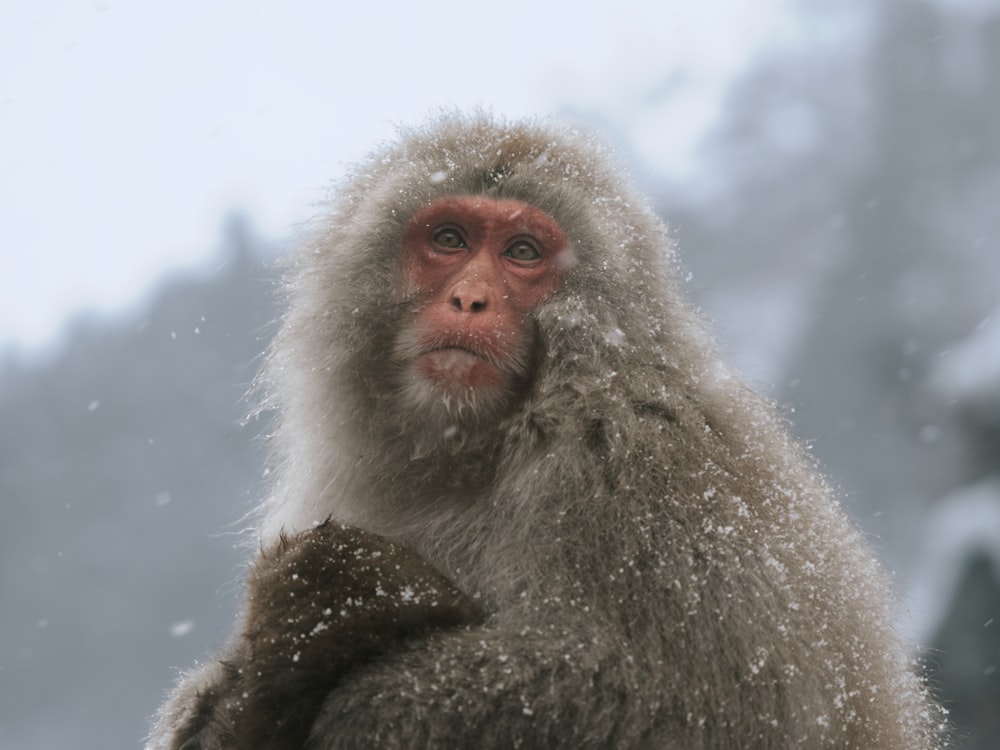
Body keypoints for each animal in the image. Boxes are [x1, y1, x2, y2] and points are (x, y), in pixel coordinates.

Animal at [148, 114, 944, 748]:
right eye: (448, 238)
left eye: (523, 253)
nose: (470, 299)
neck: (483, 444)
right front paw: (300, 637)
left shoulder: (642, 467)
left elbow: (675, 697)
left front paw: (337, 623)